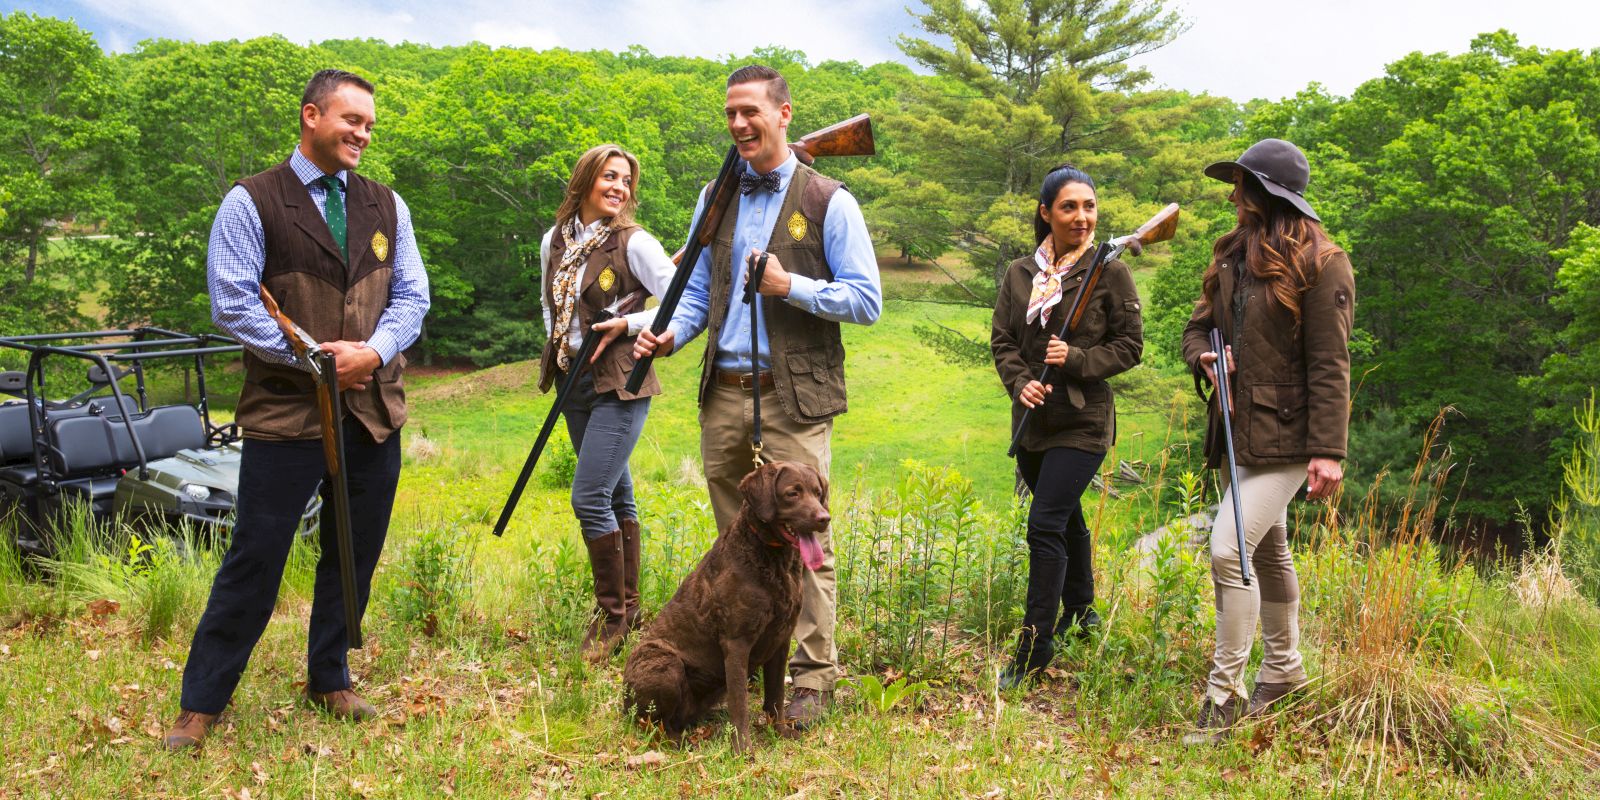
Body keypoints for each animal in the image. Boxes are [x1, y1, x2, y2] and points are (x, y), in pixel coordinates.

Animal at [620, 460, 832, 752]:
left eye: (818, 492)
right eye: (793, 493)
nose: (824, 518)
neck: (772, 558)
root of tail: (623, 702)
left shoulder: (781, 640)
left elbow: (776, 695)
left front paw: (779, 732)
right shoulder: (736, 643)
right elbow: (740, 703)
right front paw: (743, 749)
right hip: (665, 665)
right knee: (653, 723)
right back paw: (679, 740)